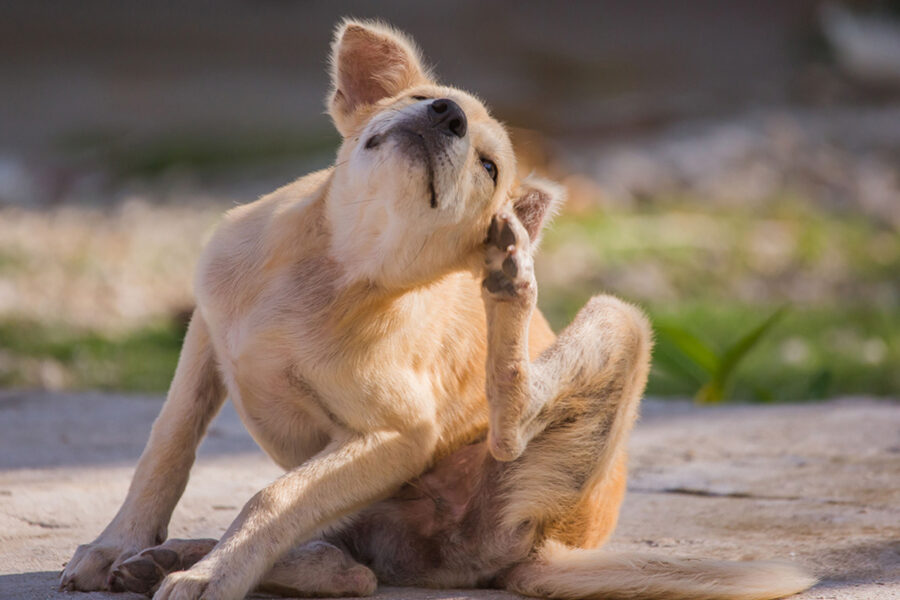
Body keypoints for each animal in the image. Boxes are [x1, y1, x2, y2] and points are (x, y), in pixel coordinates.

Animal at [56, 18, 816, 600]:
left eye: (488, 166)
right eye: (428, 98)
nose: (444, 115)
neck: (330, 269)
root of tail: (543, 553)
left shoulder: (397, 435)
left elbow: (272, 498)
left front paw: (212, 576)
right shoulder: (206, 338)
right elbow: (167, 446)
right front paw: (118, 544)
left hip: (607, 337)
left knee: (491, 441)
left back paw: (511, 283)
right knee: (351, 566)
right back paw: (178, 556)